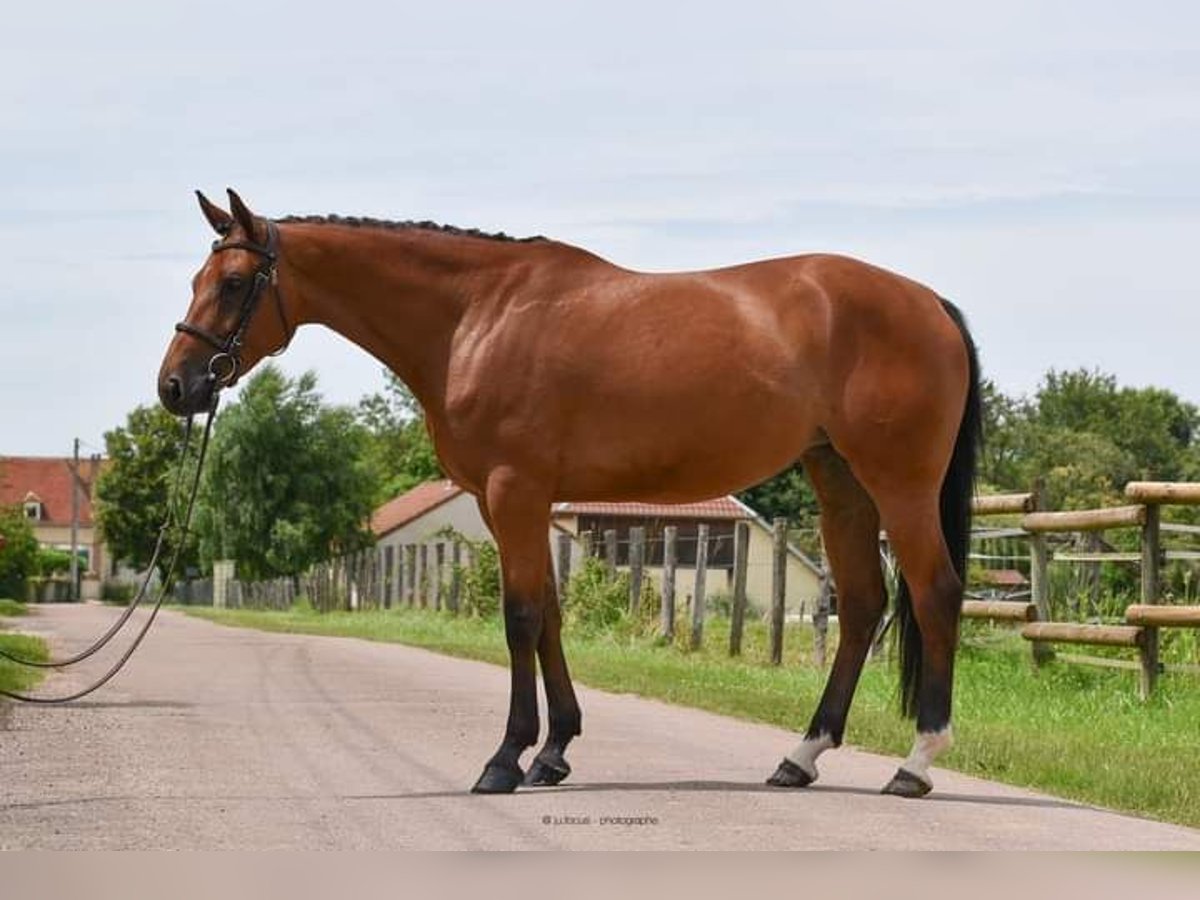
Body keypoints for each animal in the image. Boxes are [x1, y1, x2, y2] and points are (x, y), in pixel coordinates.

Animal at [159, 188, 979, 796]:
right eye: (197, 281)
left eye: (233, 283)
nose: (176, 386)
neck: (475, 318)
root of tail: (929, 302)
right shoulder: (511, 504)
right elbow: (550, 615)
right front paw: (554, 753)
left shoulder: (514, 492)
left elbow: (520, 618)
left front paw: (505, 759)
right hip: (839, 481)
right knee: (864, 604)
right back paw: (800, 756)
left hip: (899, 485)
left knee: (935, 592)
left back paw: (915, 763)